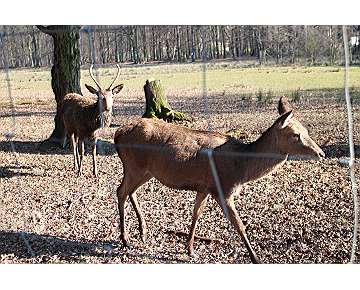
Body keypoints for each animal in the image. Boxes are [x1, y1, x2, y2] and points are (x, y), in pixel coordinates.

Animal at [114, 97, 324, 262]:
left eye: (306, 130)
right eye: (296, 135)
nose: (321, 153)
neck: (241, 168)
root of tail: (117, 134)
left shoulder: (205, 187)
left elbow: (196, 214)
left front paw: (189, 249)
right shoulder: (223, 189)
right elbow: (239, 225)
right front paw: (255, 258)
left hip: (146, 171)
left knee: (131, 191)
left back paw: (142, 232)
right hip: (134, 166)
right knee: (121, 191)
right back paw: (125, 239)